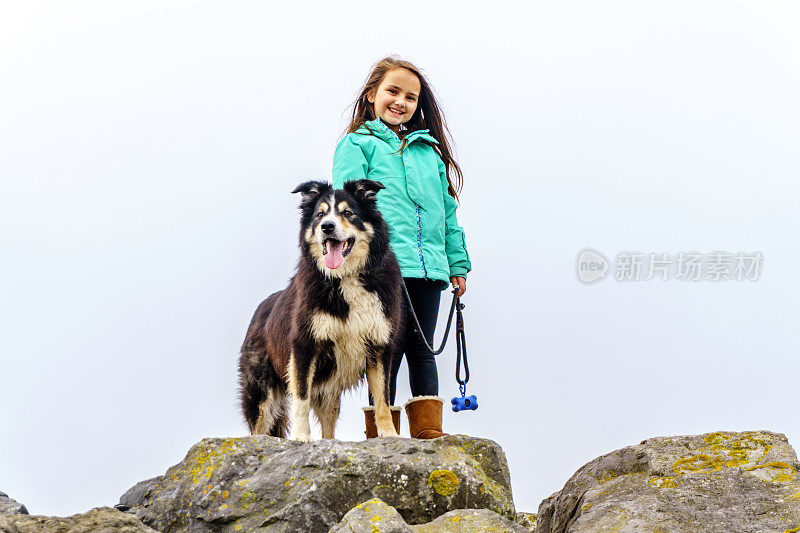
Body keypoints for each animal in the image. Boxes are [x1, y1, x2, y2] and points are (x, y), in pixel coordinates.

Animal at [234, 179, 404, 440]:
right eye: (320, 215)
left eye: (348, 213)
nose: (327, 227)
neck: (344, 277)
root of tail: (259, 310)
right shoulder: (304, 345)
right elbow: (301, 397)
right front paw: (301, 437)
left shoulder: (379, 344)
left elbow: (383, 399)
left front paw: (389, 434)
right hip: (261, 391)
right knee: (259, 429)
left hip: (329, 391)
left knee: (328, 430)